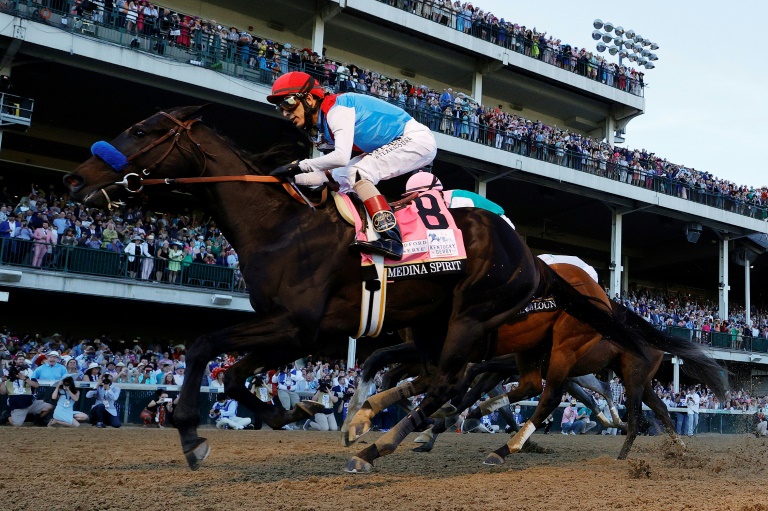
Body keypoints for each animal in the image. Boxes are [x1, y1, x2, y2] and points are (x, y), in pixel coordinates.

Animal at [63, 106, 712, 474]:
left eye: (142, 130)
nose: (74, 178)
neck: (280, 228)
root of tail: (534, 259)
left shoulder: (298, 325)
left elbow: (204, 349)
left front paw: (192, 434)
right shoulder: (296, 330)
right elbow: (235, 374)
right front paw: (295, 408)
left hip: (492, 326)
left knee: (496, 387)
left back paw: (396, 444)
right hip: (463, 330)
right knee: (492, 385)